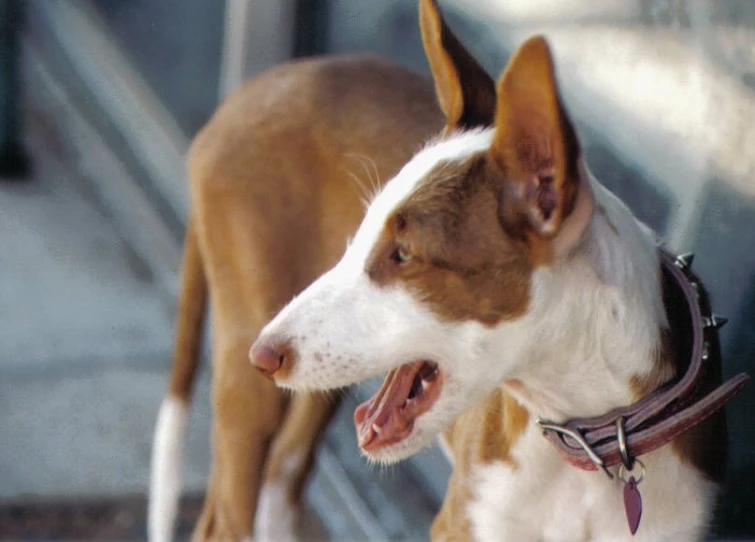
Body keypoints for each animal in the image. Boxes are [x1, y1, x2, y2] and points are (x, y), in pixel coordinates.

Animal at [149, 1, 740, 542]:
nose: (264, 354)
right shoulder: (464, 522)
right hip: (250, 373)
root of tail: (245, 93)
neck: (595, 440)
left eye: (404, 255)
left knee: (284, 472)